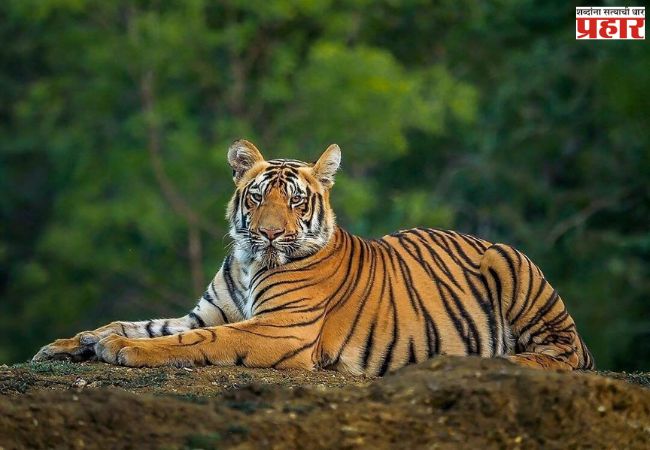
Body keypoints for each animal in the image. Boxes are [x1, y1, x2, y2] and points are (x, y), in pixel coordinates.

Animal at [33, 139, 594, 374]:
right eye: (258, 197)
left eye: (297, 201)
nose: (269, 234)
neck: (248, 262)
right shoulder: (207, 311)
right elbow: (141, 323)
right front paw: (74, 342)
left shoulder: (279, 329)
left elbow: (193, 340)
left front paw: (121, 350)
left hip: (513, 268)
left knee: (563, 355)